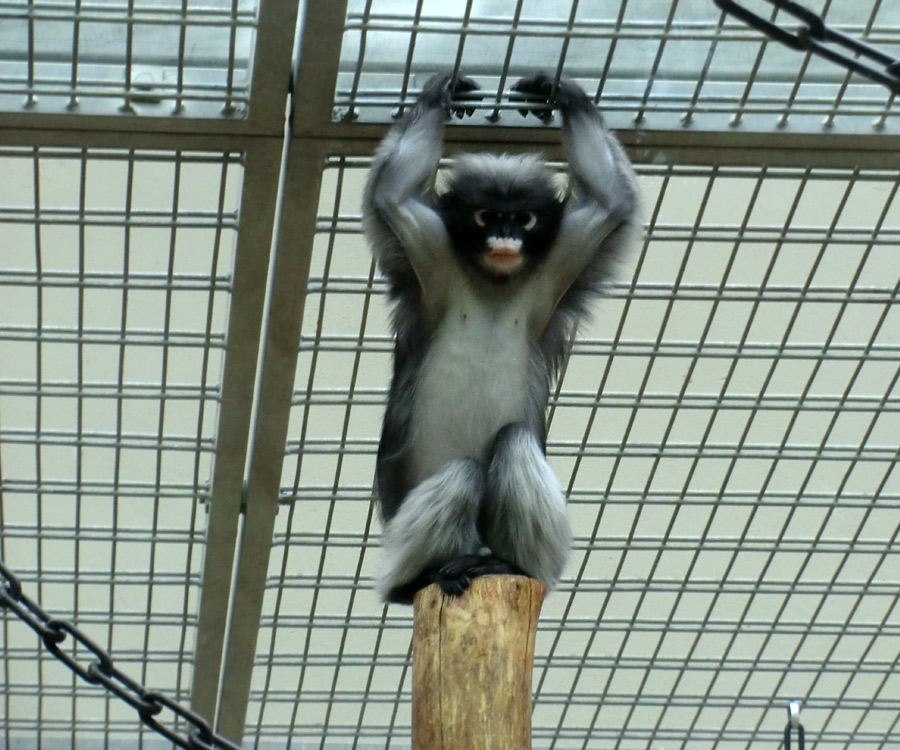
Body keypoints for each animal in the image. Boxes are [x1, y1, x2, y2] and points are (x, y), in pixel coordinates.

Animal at [360, 72, 640, 604]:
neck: (495, 282)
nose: (505, 237)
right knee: (464, 474)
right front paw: (443, 95)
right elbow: (393, 195)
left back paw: (510, 564)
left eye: (523, 218)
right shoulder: (432, 254)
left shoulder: (552, 269)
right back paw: (421, 577)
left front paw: (558, 92)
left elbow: (611, 201)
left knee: (512, 441)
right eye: (488, 216)